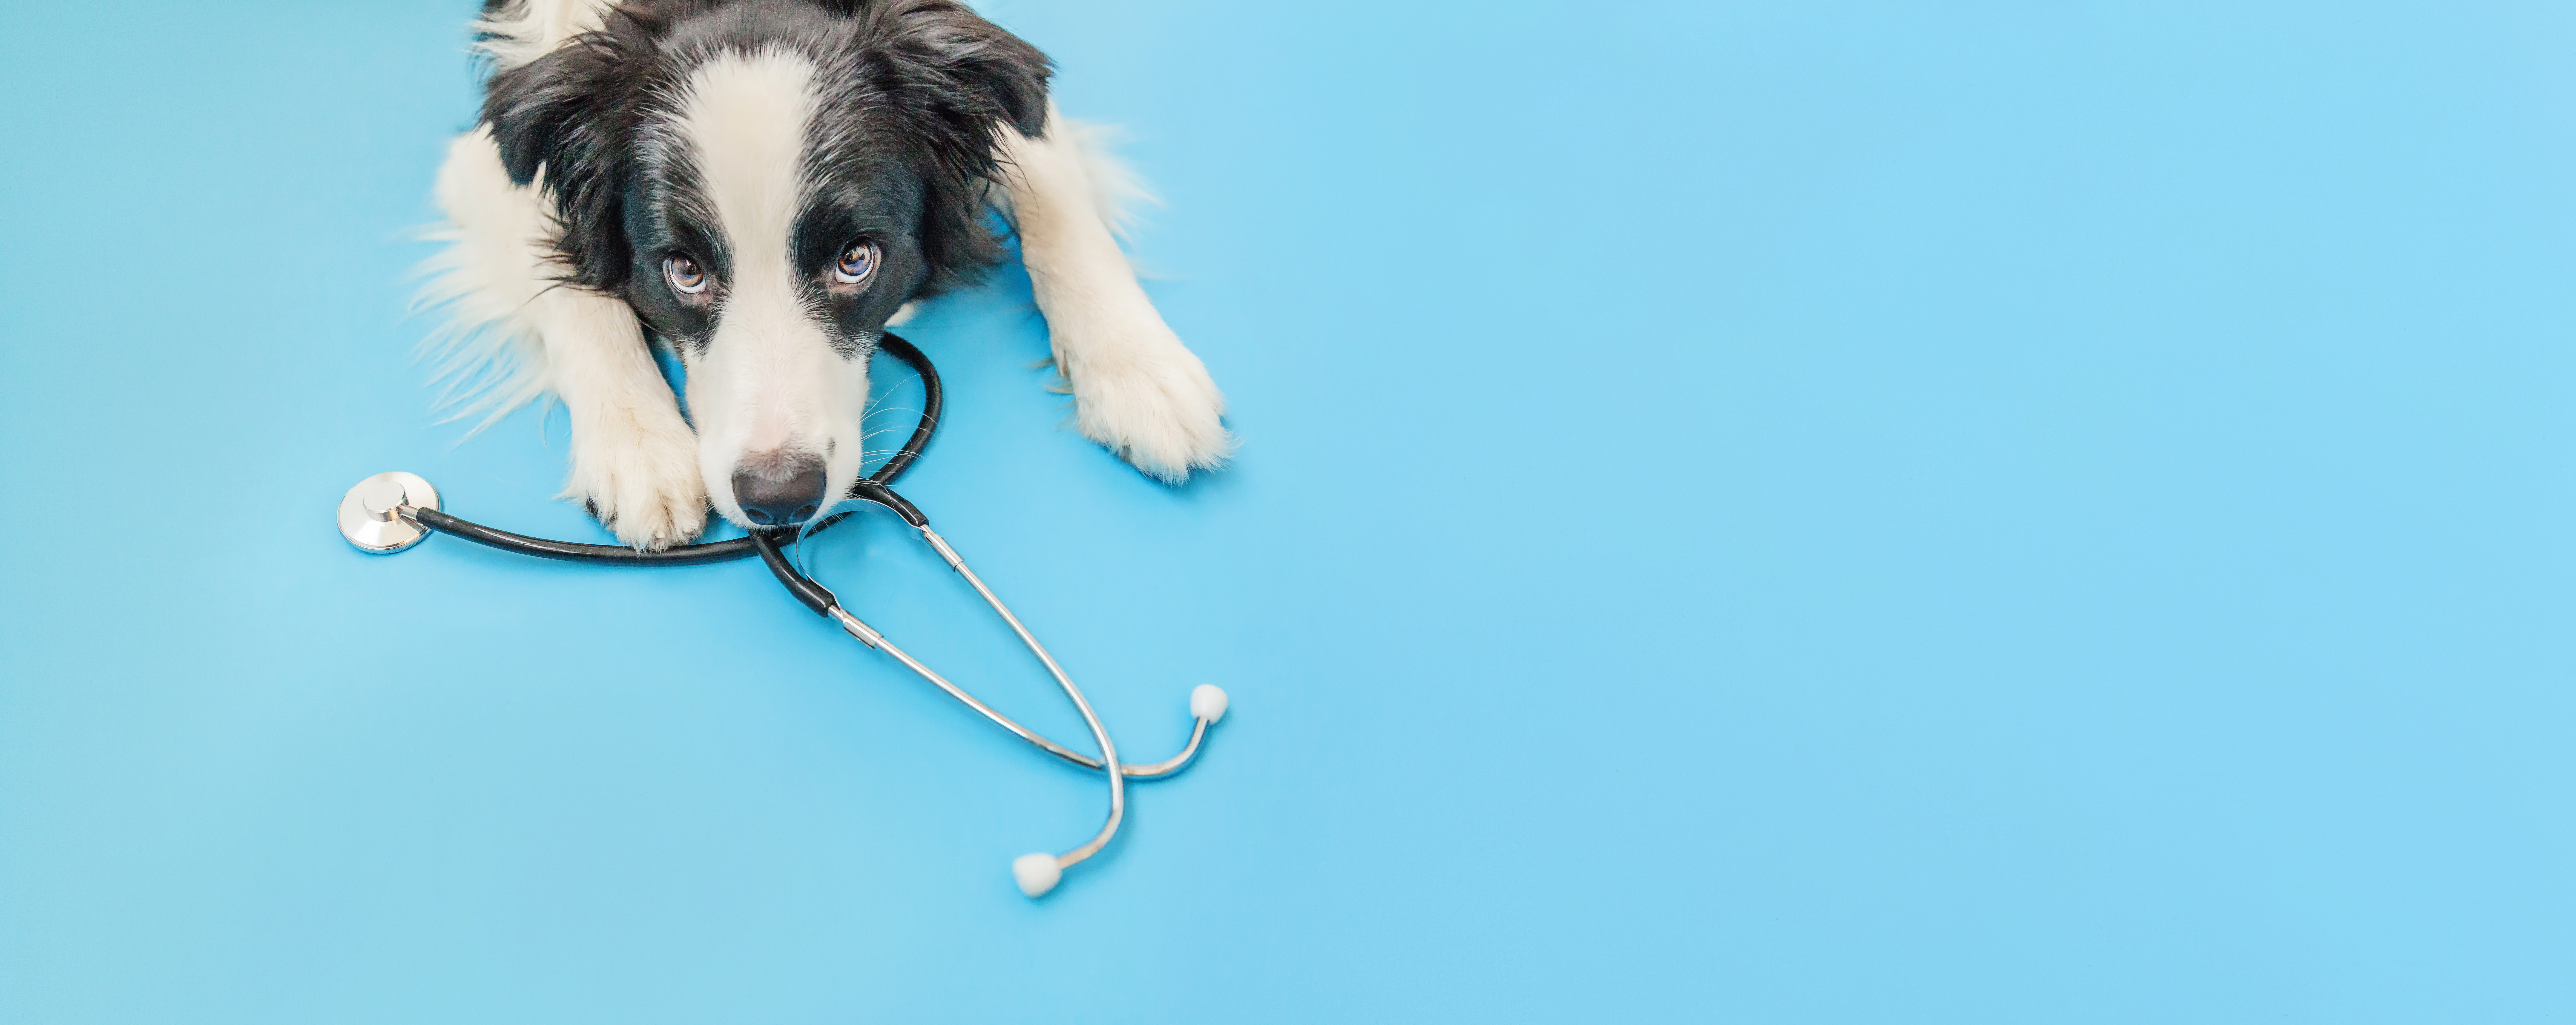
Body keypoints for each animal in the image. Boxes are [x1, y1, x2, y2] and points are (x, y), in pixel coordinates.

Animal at [422, 0, 1226, 548]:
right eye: (683, 271)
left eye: (854, 261)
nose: (780, 497)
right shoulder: (485, 154)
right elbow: (571, 291)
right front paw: (639, 447)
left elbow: (1053, 192)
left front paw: (1138, 371)